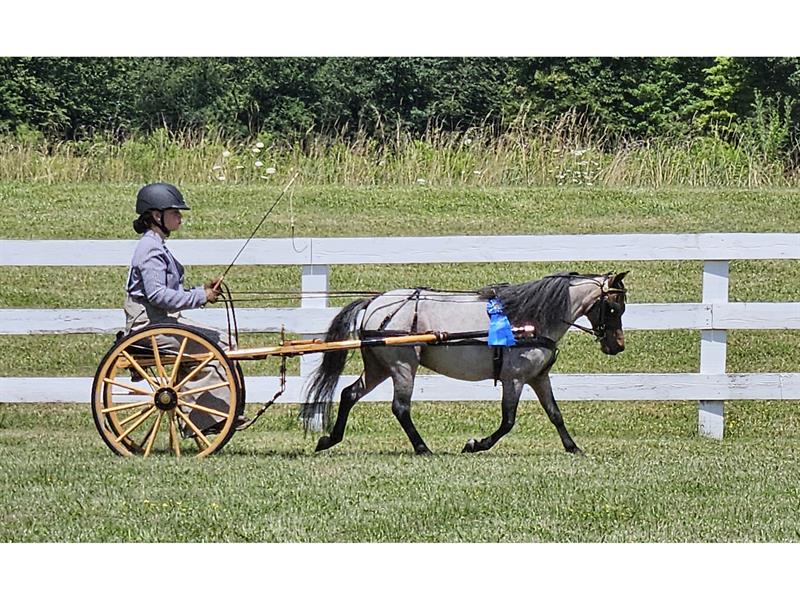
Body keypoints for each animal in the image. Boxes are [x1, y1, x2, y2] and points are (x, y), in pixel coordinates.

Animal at [304, 271, 628, 455]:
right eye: (614, 307)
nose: (617, 346)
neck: (531, 319)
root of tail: (375, 302)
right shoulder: (514, 378)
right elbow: (508, 421)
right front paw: (475, 445)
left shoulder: (538, 377)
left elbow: (555, 414)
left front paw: (573, 447)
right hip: (402, 366)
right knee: (400, 408)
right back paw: (422, 448)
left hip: (379, 367)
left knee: (350, 394)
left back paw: (329, 440)